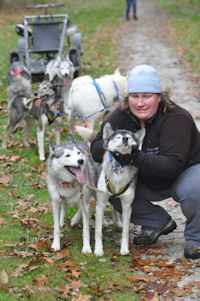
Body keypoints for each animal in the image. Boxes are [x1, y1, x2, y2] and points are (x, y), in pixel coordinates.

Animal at [94, 122, 145, 255]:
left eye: (130, 137)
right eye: (117, 137)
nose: (125, 138)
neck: (118, 167)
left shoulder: (127, 205)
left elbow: (125, 231)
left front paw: (124, 248)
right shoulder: (101, 202)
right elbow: (98, 231)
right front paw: (98, 249)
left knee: (114, 208)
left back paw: (117, 222)